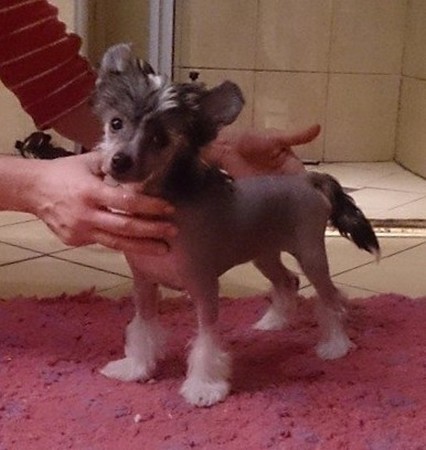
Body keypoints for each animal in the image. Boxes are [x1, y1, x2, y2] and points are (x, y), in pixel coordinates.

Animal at [93, 44, 380, 407]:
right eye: (116, 123)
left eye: (160, 138)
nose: (119, 161)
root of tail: (308, 179)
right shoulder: (144, 284)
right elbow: (142, 328)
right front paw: (136, 367)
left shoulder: (204, 288)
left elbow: (206, 342)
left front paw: (204, 387)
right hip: (264, 255)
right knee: (287, 281)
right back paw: (273, 322)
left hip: (311, 254)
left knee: (331, 298)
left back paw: (336, 345)